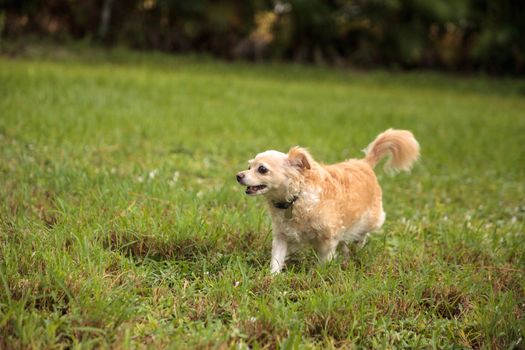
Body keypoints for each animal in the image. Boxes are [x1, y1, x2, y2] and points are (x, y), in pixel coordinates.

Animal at [235, 129, 420, 274]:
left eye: (262, 169)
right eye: (249, 166)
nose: (238, 175)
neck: (296, 199)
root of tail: (365, 163)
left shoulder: (328, 239)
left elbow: (325, 260)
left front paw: (320, 275)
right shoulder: (282, 236)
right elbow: (276, 259)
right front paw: (272, 277)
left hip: (371, 219)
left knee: (362, 235)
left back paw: (358, 246)